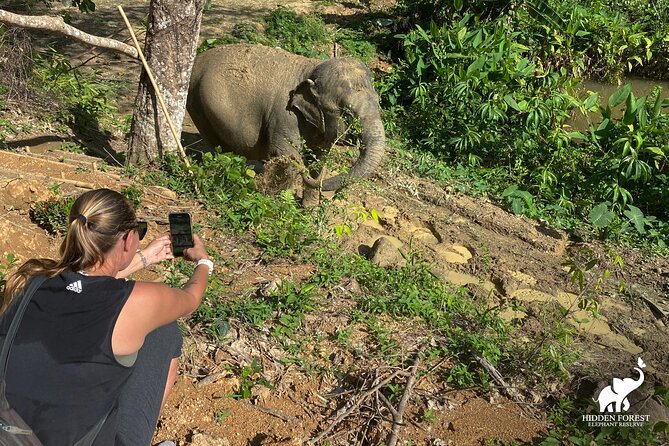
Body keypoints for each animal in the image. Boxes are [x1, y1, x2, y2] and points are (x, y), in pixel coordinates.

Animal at [186, 43, 386, 191]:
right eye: (347, 113)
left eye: (378, 102)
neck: (311, 68)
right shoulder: (284, 116)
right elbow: (285, 155)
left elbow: (318, 158)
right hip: (197, 103)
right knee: (218, 147)